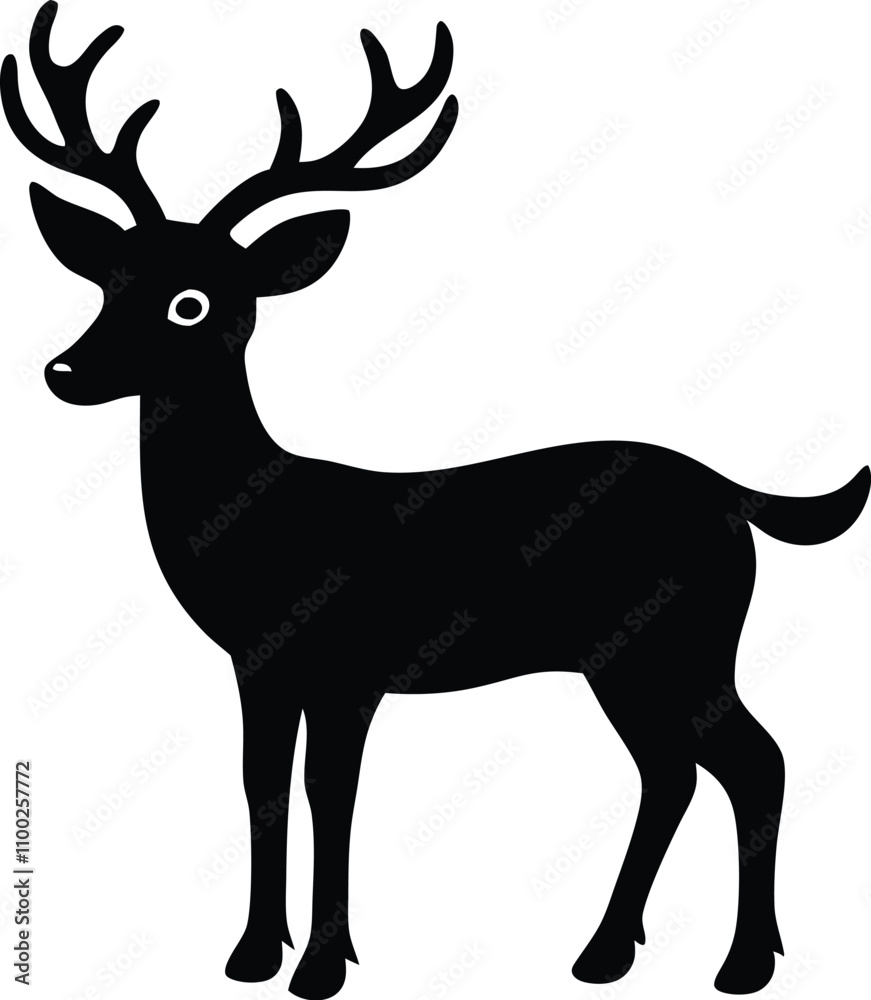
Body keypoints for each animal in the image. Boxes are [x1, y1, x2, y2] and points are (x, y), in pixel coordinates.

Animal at [3, 4, 868, 998]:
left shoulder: (348, 663)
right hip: (625, 658)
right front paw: (253, 954)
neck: (259, 523)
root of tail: (737, 494)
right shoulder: (259, 663)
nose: (65, 371)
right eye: (108, 281)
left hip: (683, 640)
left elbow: (329, 794)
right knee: (674, 771)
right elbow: (261, 787)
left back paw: (742, 962)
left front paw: (322, 965)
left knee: (753, 760)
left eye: (192, 301)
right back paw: (607, 951)